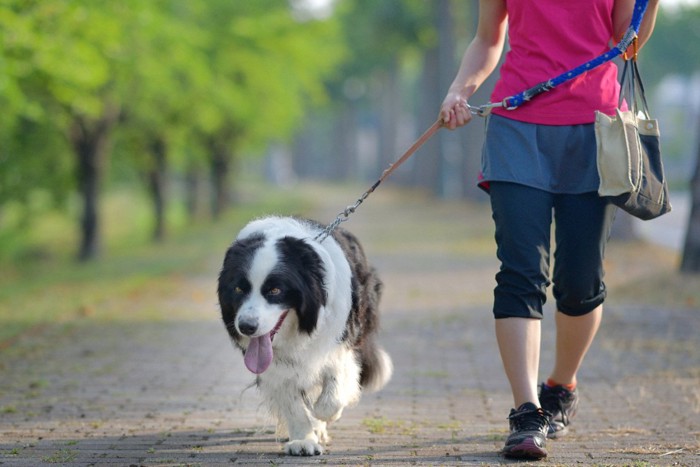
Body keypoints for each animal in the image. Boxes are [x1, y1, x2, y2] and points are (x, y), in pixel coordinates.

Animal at [217, 217, 394, 458]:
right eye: (238, 289)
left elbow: (333, 389)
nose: (246, 327)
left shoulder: (342, 340)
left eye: (274, 290)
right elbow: (292, 402)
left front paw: (323, 416)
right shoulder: (275, 367)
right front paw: (303, 440)